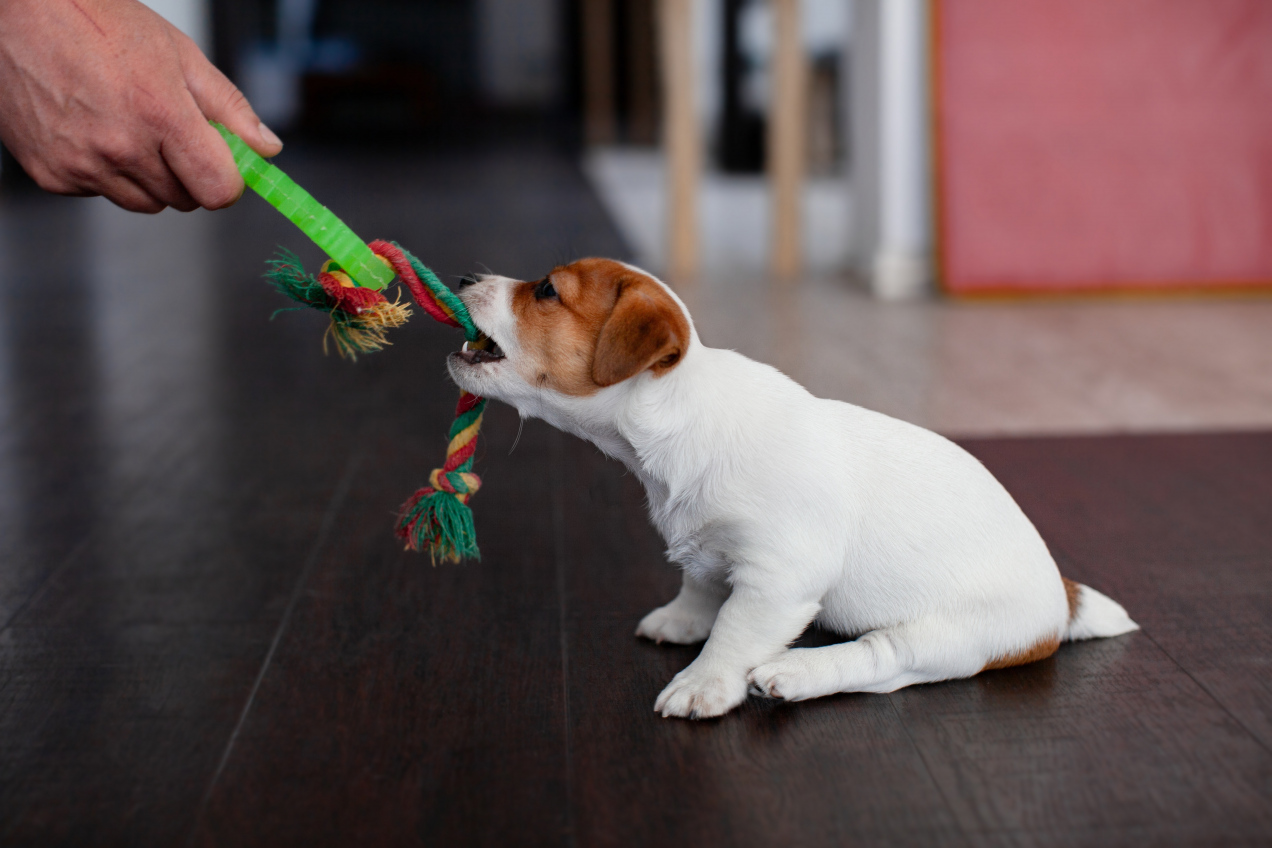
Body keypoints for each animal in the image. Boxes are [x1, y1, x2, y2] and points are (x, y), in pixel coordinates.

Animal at [448, 258, 1139, 719]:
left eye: (546, 290)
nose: (460, 278)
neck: (682, 418)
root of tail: (1060, 595)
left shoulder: (779, 576)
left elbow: (733, 630)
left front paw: (704, 683)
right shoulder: (707, 550)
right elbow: (700, 588)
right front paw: (681, 620)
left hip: (946, 636)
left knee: (883, 662)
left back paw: (794, 673)